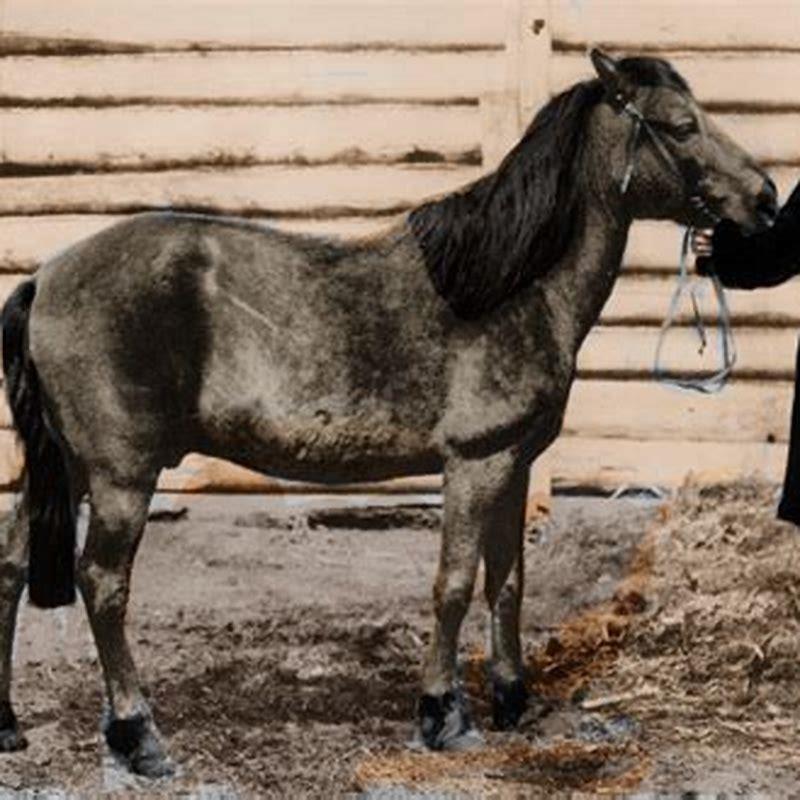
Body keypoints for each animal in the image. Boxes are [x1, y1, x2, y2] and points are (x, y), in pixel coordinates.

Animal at [0, 49, 777, 777]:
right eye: (680, 125)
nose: (766, 199)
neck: (505, 289)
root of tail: (45, 279)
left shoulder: (515, 465)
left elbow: (507, 581)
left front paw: (512, 699)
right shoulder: (474, 463)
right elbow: (454, 586)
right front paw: (441, 714)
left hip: (70, 467)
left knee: (11, 563)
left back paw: (10, 726)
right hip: (120, 476)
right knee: (102, 584)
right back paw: (138, 737)